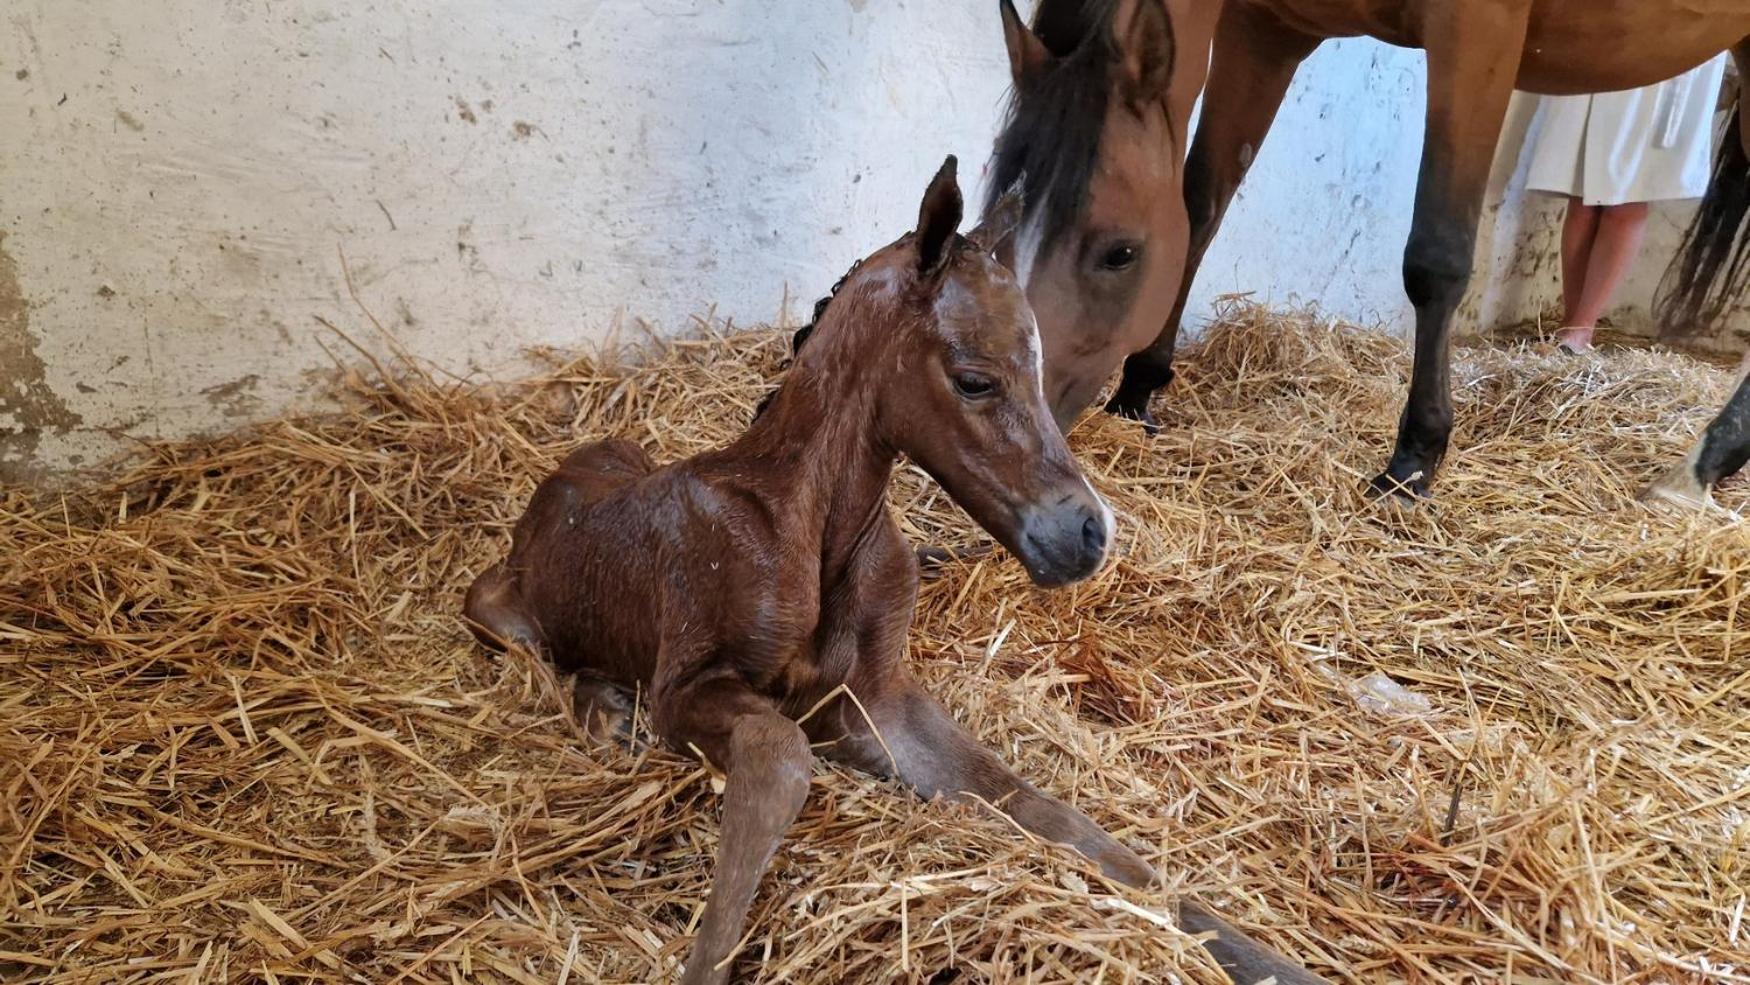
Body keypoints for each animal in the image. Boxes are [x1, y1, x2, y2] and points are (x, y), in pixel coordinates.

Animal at [458, 158, 1316, 979]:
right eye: (974, 378)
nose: (1086, 533)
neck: (813, 531)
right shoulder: (689, 686)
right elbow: (782, 756)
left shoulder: (880, 698)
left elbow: (1057, 816)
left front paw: (1272, 958)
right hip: (501, 605)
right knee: (524, 634)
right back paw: (606, 711)